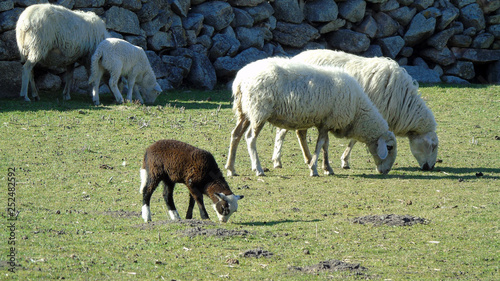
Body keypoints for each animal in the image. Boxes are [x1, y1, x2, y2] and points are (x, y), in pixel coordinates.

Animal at [225, 55, 396, 176]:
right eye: (389, 147)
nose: (386, 171)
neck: (357, 111)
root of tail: (240, 80)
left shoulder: (325, 123)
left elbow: (325, 145)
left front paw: (327, 168)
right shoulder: (328, 122)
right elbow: (320, 145)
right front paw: (314, 169)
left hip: (244, 111)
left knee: (235, 135)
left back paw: (231, 168)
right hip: (259, 111)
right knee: (250, 138)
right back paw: (258, 169)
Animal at [274, 49, 438, 170]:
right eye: (433, 146)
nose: (429, 167)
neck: (403, 103)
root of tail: (296, 57)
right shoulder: (365, 114)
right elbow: (354, 140)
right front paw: (345, 161)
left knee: (299, 133)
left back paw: (307, 159)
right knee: (281, 132)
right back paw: (277, 161)